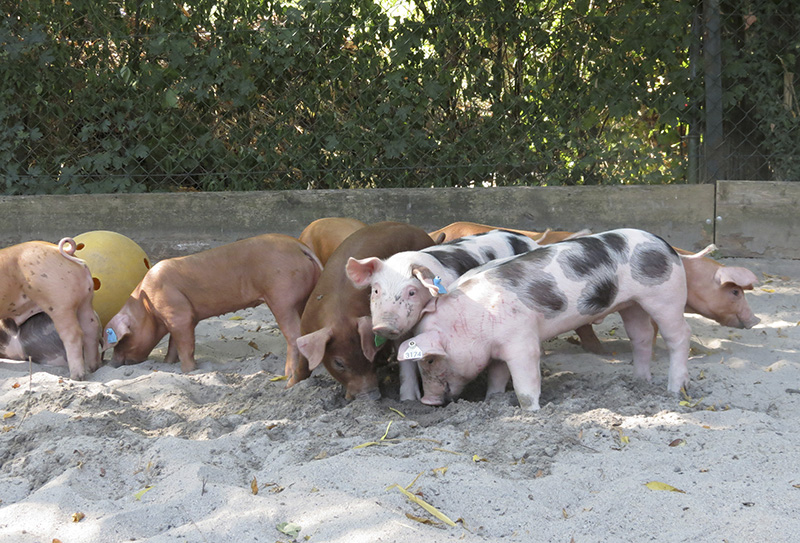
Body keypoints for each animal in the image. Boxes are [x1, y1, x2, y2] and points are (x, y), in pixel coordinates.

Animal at [0, 240, 100, 380]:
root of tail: (64, 251)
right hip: (85, 300)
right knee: (91, 328)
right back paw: (93, 368)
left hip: (59, 303)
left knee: (73, 334)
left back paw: (76, 377)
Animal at [103, 235, 322, 382]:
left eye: (123, 340)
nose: (111, 365)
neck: (147, 306)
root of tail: (298, 246)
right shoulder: (176, 318)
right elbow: (173, 344)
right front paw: (167, 365)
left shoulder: (179, 314)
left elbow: (186, 345)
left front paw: (189, 371)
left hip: (282, 298)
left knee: (294, 335)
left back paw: (288, 375)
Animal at [296, 221, 434, 400]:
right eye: (338, 363)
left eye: (370, 358)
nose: (371, 396)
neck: (339, 314)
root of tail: (417, 229)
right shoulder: (305, 326)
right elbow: (302, 363)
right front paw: (290, 385)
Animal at [396, 227, 692, 410]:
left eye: (430, 360)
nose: (428, 401)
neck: (472, 318)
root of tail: (665, 245)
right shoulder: (499, 348)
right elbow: (497, 376)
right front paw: (493, 401)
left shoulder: (522, 342)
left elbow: (525, 386)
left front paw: (532, 412)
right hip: (632, 304)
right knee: (641, 336)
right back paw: (641, 382)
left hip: (665, 296)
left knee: (679, 337)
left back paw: (674, 390)